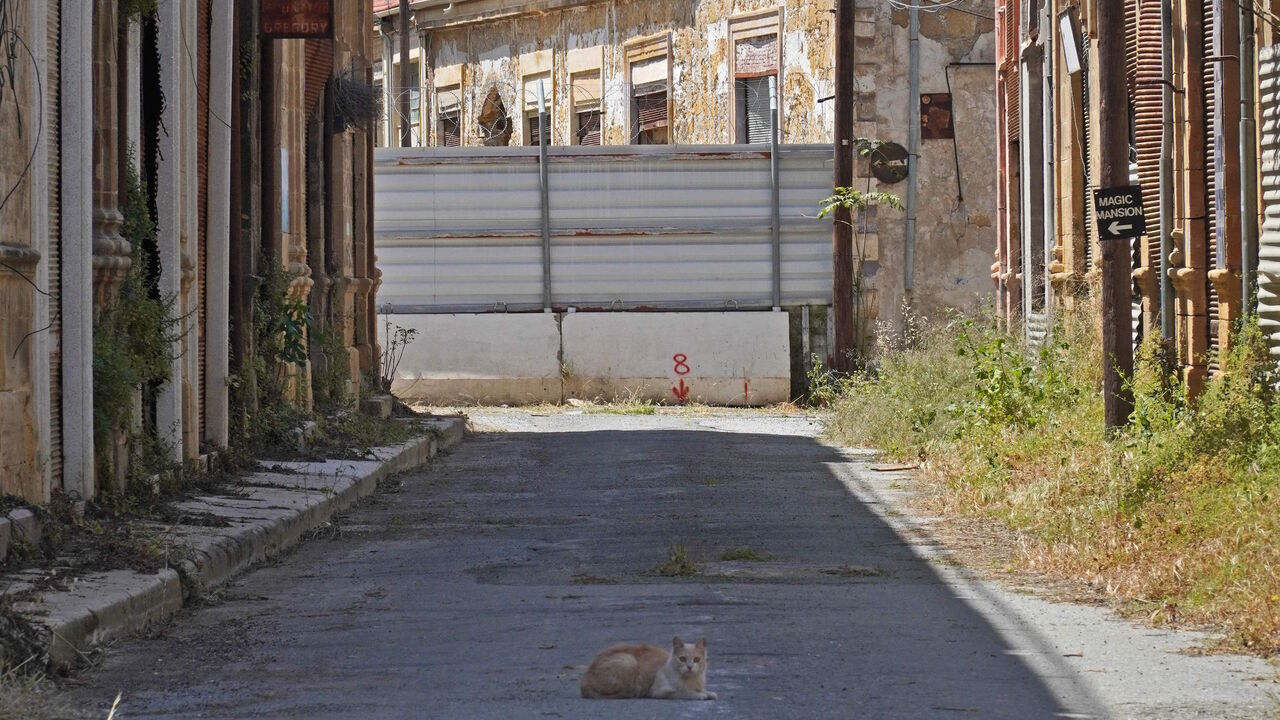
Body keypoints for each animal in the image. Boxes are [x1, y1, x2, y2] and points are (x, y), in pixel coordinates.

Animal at [583, 635, 721, 696]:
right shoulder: (658, 691)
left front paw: (708, 693)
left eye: (697, 659)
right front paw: (699, 695)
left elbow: (707, 692)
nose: (690, 666)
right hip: (628, 660)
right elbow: (682, 692)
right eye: (682, 659)